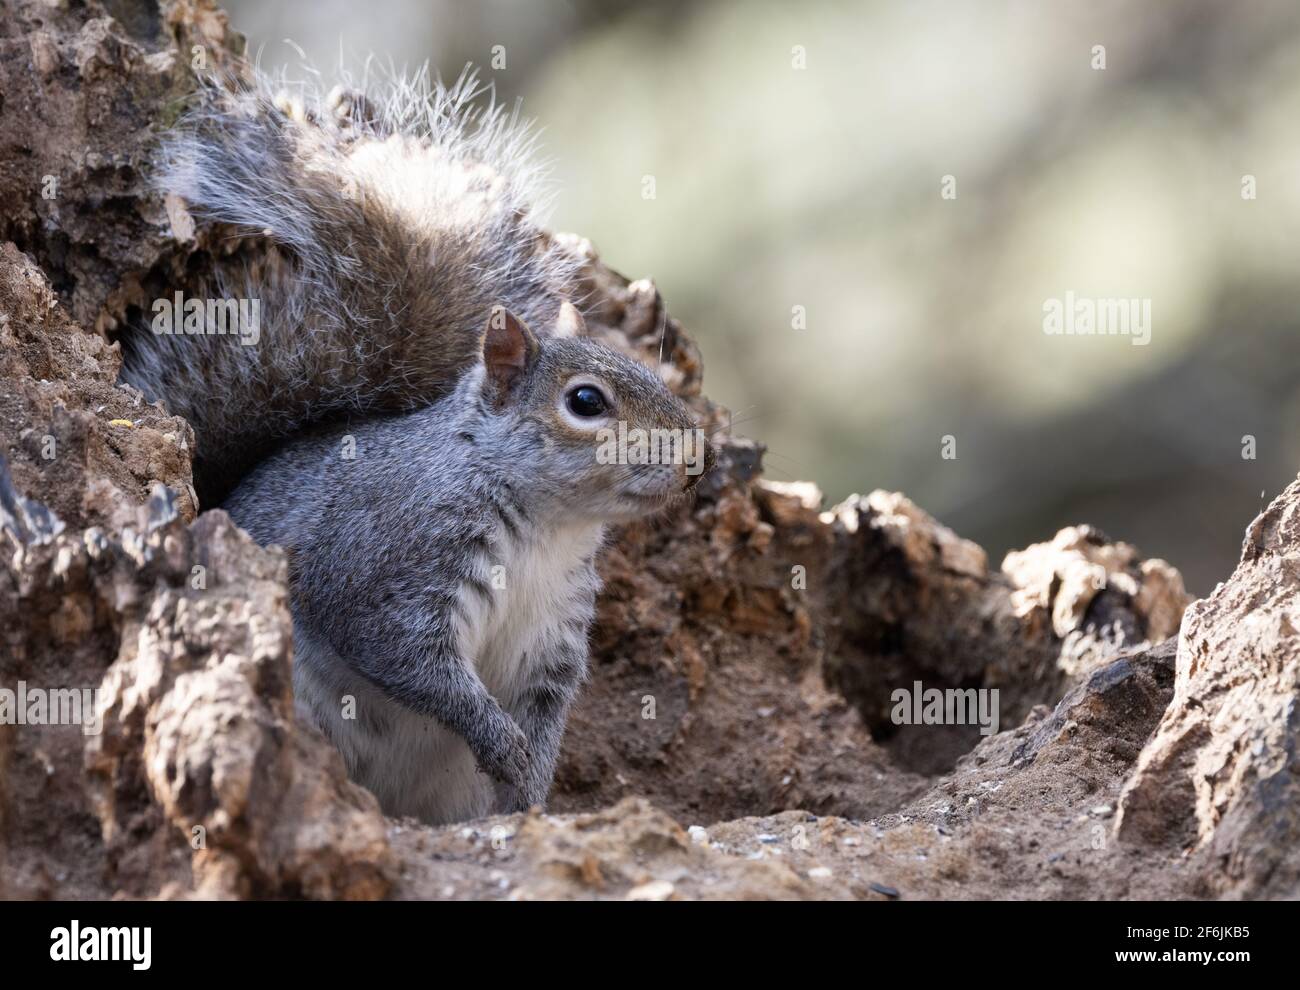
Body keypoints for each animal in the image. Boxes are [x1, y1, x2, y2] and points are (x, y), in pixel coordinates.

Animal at [120, 69, 712, 821]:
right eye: (585, 402)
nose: (696, 460)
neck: (546, 531)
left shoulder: (554, 633)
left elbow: (548, 716)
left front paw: (534, 791)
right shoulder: (390, 568)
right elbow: (414, 665)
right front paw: (500, 741)